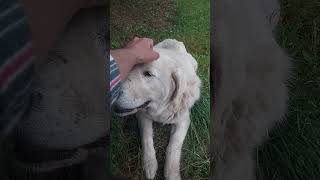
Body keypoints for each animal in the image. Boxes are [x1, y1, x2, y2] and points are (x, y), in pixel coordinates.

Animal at [114, 38, 201, 179]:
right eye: (131, 66)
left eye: (148, 74)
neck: (161, 109)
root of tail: (174, 39)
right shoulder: (143, 115)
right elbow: (147, 137)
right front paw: (149, 164)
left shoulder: (183, 120)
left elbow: (174, 144)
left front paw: (172, 173)